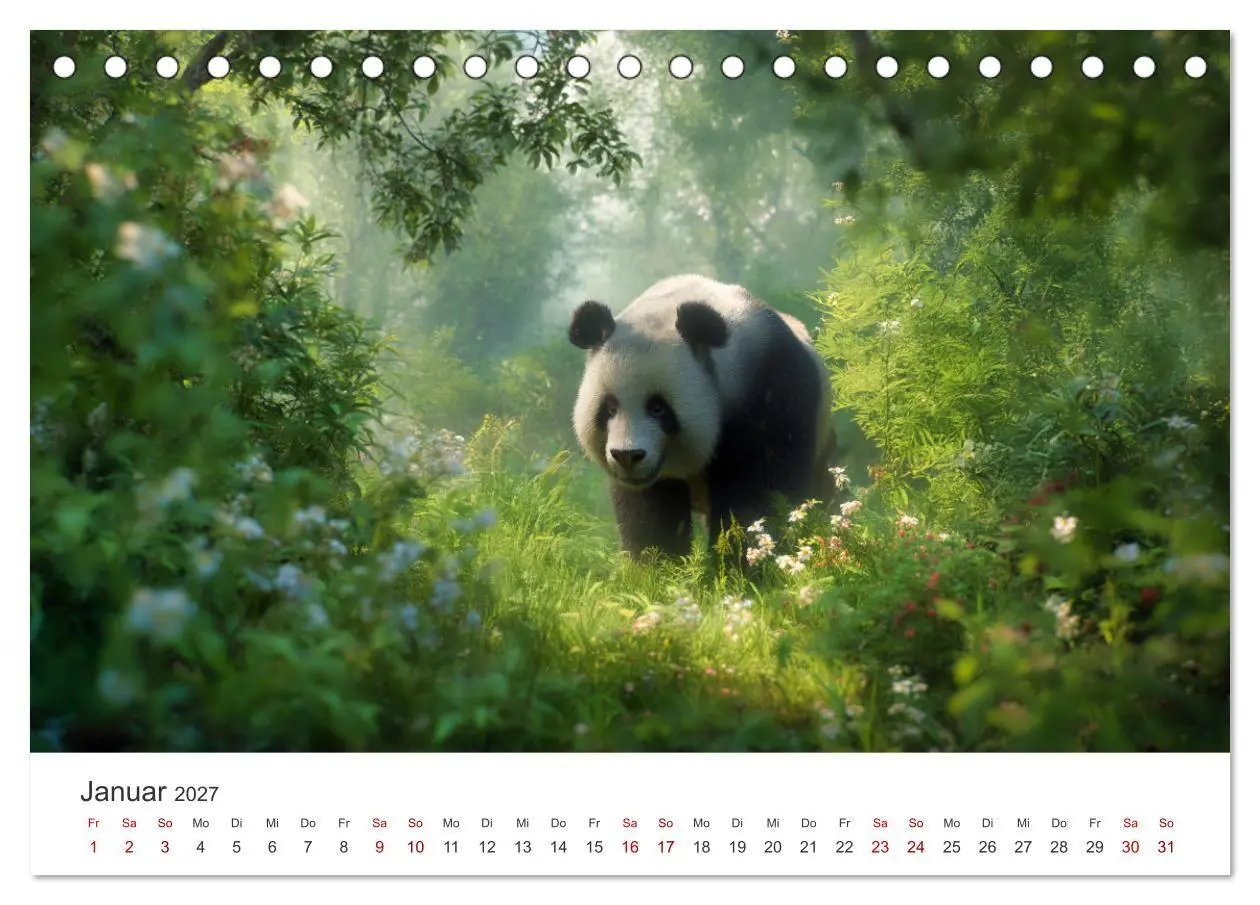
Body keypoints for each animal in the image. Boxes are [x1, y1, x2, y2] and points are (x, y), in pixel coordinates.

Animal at [568, 274, 836, 561]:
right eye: (609, 409)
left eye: (658, 408)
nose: (627, 455)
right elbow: (649, 515)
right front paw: (658, 564)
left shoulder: (771, 389)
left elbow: (761, 490)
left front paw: (740, 561)